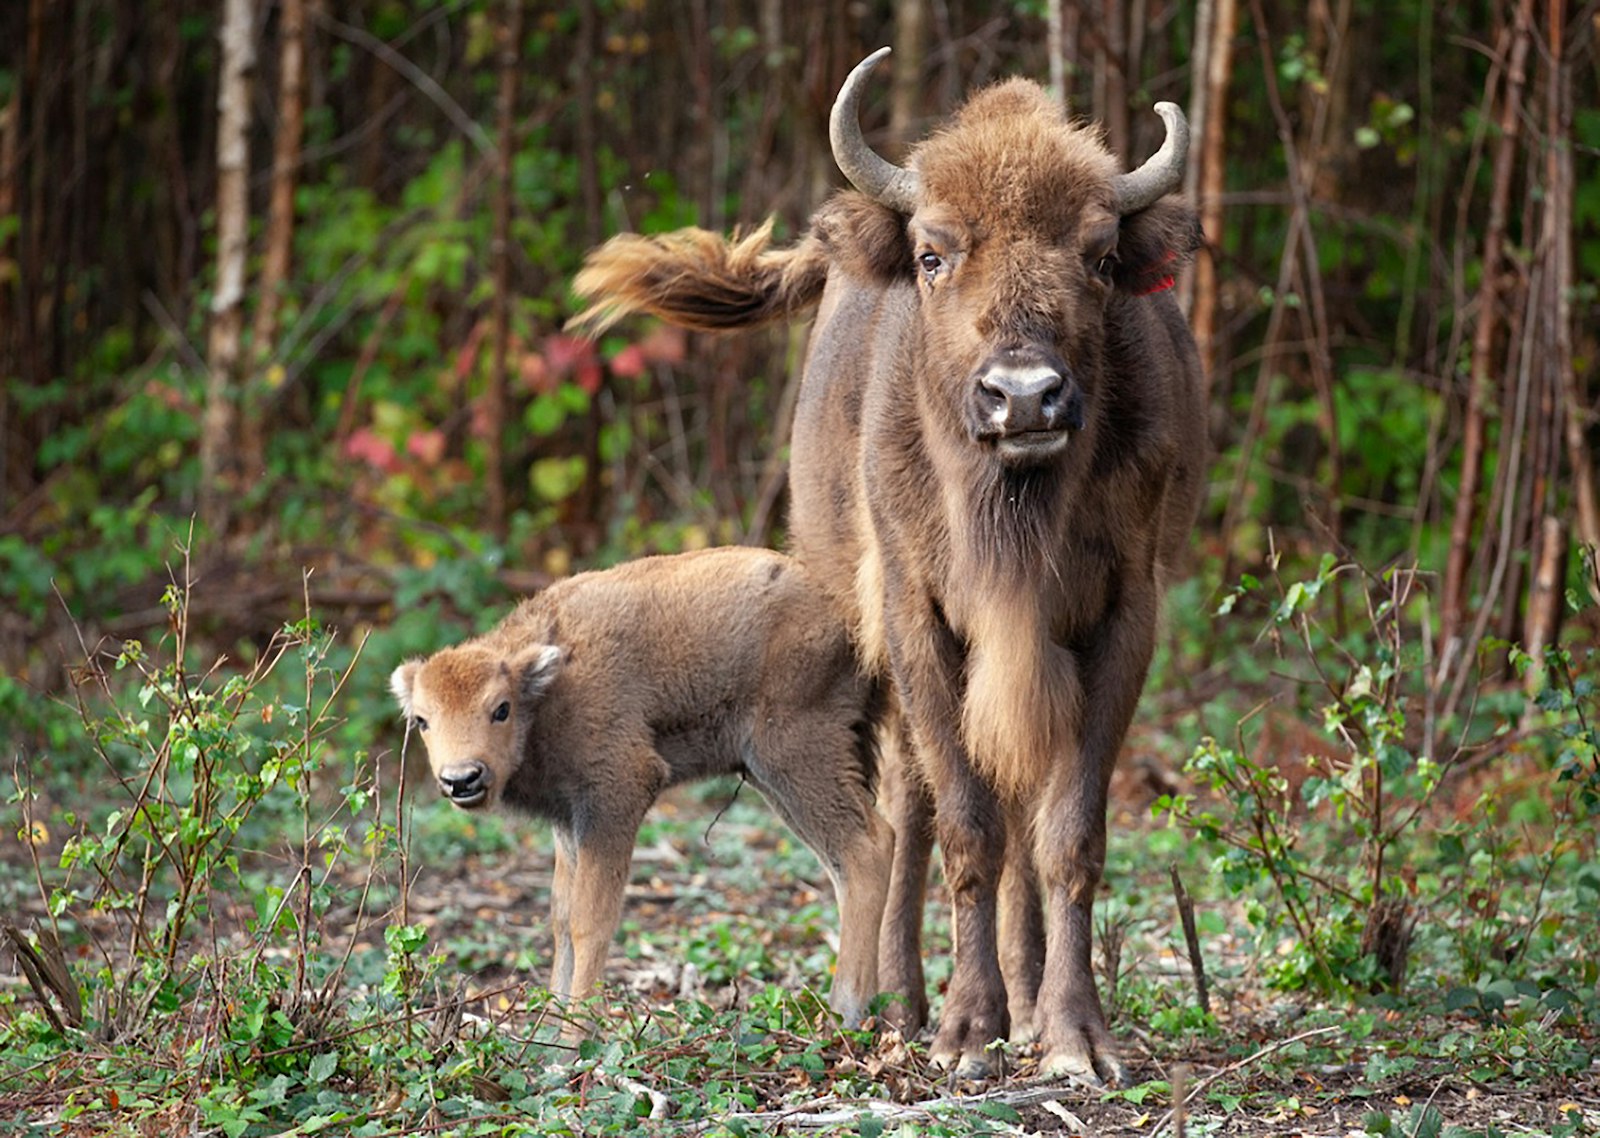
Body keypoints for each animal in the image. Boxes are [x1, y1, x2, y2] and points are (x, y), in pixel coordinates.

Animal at [382, 547, 896, 1030]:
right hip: (777, 778)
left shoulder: (616, 794)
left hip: (794, 756)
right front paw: (553, 1027)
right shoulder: (570, 820)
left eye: (500, 709)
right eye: (422, 720)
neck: (548, 690)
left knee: (867, 849)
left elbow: (591, 919)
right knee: (843, 866)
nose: (462, 778)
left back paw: (846, 1012)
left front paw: (574, 1036)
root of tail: (846, 616)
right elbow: (561, 917)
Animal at [569, 51, 1203, 1088]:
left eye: (1102, 258)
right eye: (933, 255)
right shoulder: (918, 618)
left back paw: (1023, 997)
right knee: (909, 814)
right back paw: (904, 1004)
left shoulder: (1119, 619)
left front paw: (1073, 1036)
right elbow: (966, 828)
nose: (1023, 397)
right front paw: (966, 1032)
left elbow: (1068, 832)